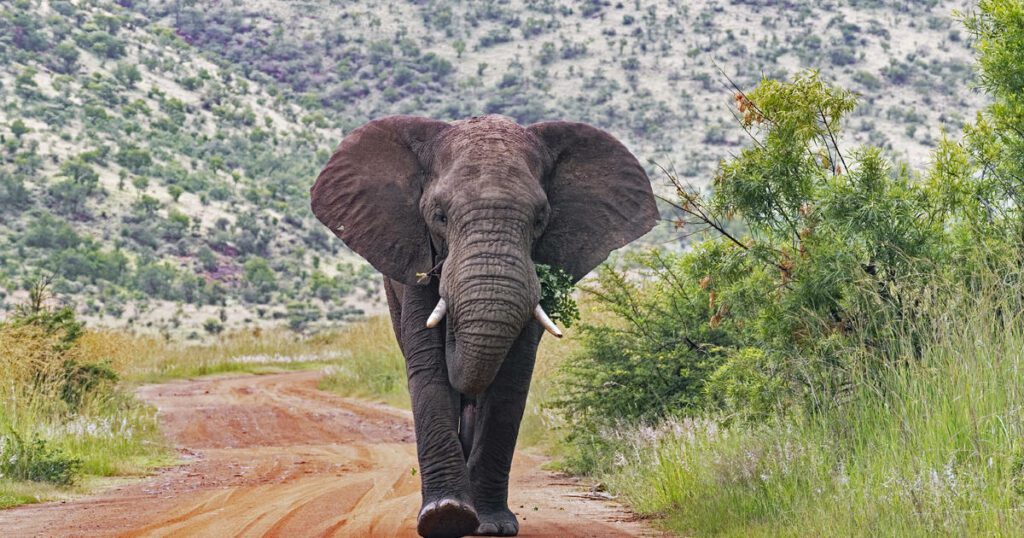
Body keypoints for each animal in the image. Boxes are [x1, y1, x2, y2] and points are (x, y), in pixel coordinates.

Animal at [309, 114, 655, 536]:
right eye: (439, 216)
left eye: (540, 219)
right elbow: (429, 369)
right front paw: (446, 517)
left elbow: (510, 380)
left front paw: (490, 525)